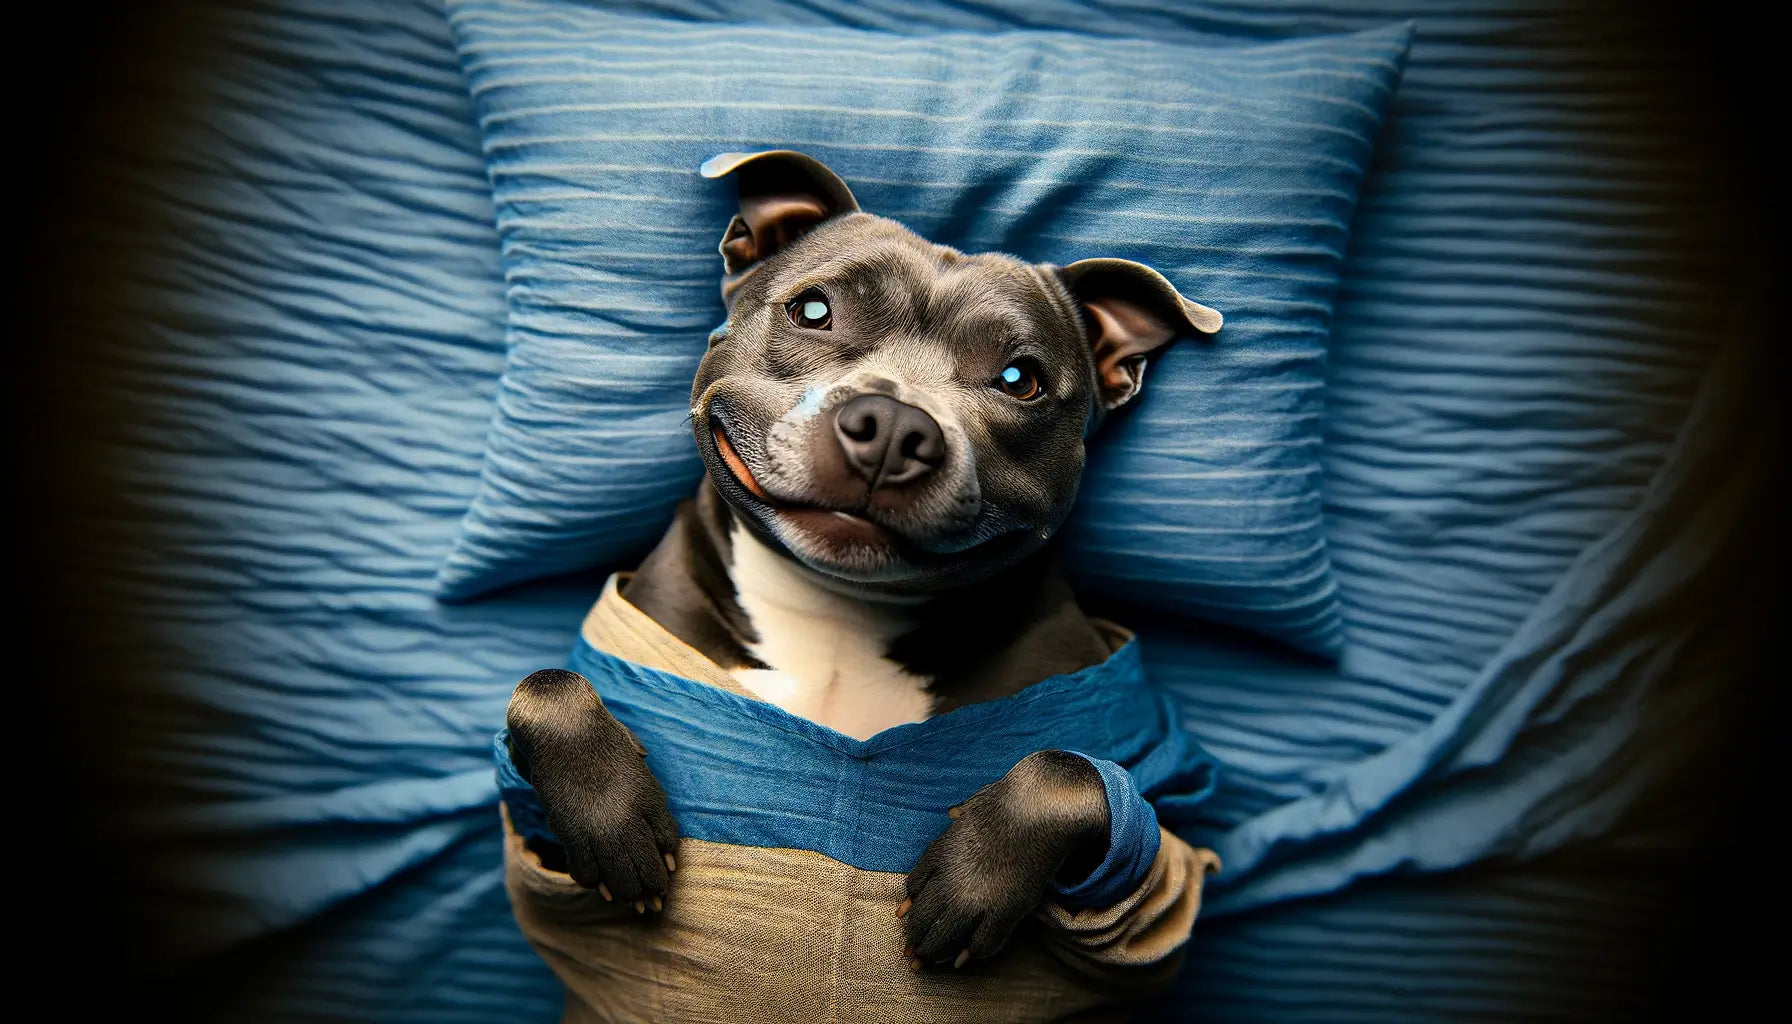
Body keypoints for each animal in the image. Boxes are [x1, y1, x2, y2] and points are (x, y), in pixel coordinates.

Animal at [505, 152, 1232, 1011]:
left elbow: (1071, 772)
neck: (841, 615)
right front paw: (611, 821)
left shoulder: (1169, 826)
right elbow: (544, 688)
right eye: (813, 310)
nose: (893, 425)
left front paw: (972, 884)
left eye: (1019, 378)